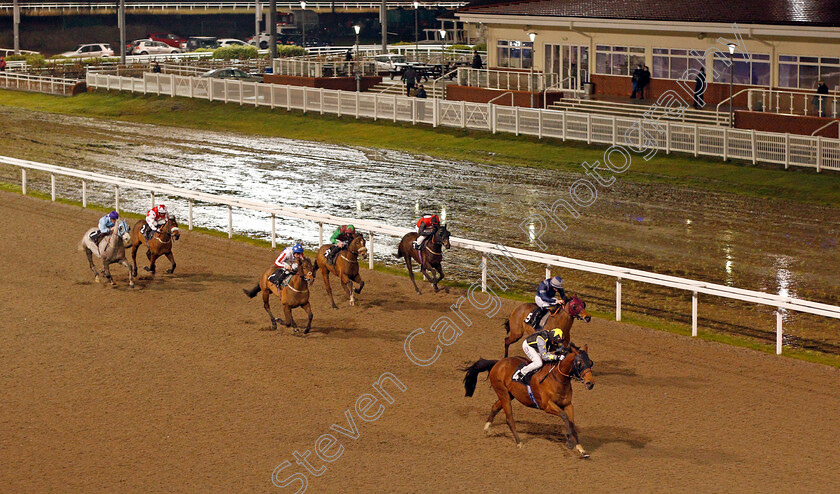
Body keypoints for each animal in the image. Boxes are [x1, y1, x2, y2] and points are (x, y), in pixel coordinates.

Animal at [462, 342, 592, 458]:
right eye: (579, 362)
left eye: (591, 363)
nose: (590, 383)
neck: (557, 379)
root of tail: (498, 362)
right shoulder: (547, 405)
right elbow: (564, 416)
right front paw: (569, 443)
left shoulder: (568, 404)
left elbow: (571, 423)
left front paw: (581, 449)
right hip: (503, 393)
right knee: (509, 418)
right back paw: (519, 442)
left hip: (509, 394)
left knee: (495, 407)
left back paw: (487, 428)